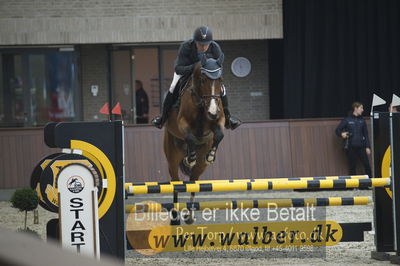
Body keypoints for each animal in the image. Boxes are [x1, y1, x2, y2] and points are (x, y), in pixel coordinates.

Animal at [162, 56, 225, 224]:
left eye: (220, 80)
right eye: (203, 80)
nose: (212, 111)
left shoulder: (218, 121)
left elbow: (219, 135)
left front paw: (211, 155)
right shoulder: (182, 123)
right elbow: (190, 136)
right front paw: (190, 158)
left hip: (200, 167)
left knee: (193, 182)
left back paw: (189, 216)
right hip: (171, 160)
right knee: (176, 184)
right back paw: (175, 217)